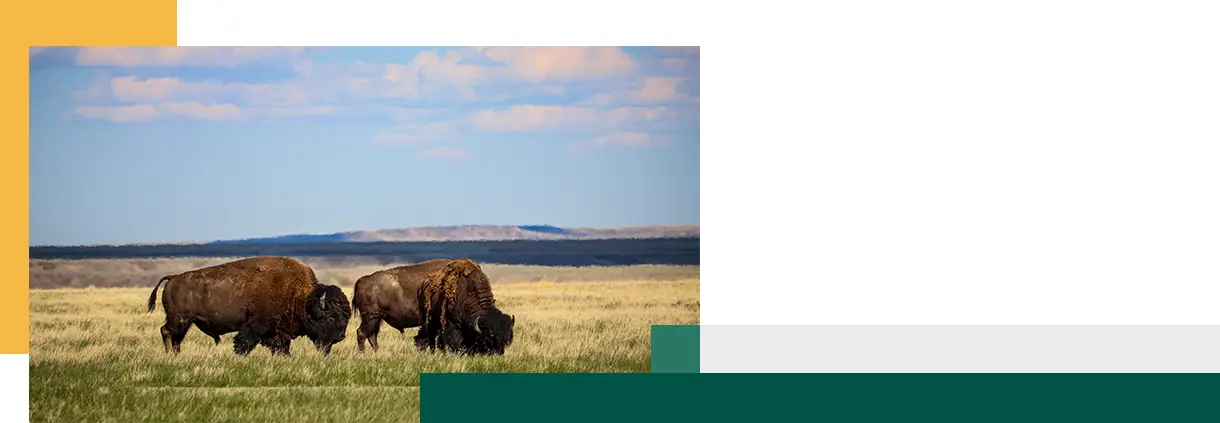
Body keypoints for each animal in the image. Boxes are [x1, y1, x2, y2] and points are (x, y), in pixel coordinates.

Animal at [146, 256, 352, 356]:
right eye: (332, 316)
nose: (341, 336)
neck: (300, 296)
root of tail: (173, 278)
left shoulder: (278, 331)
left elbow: (282, 347)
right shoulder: (256, 325)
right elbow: (244, 342)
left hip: (186, 323)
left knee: (176, 338)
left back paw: (176, 355)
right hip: (179, 320)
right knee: (166, 331)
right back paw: (169, 355)